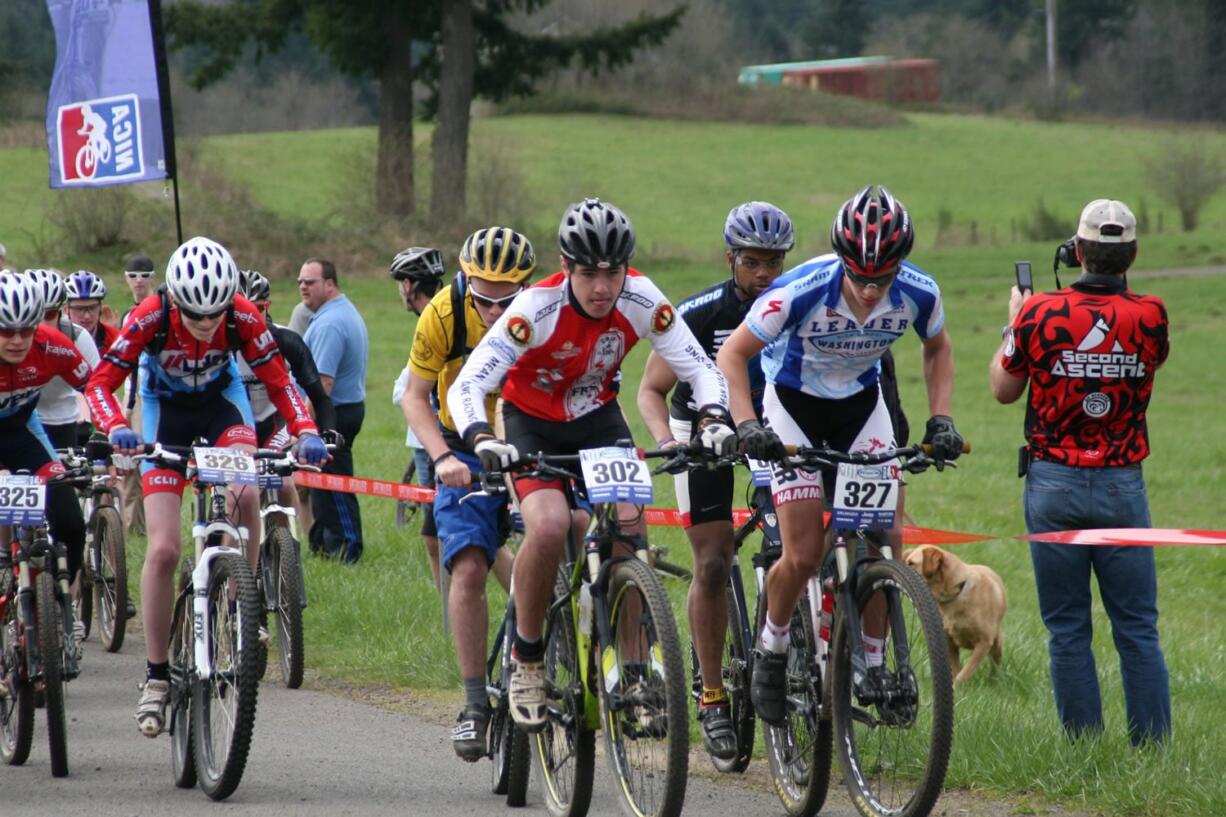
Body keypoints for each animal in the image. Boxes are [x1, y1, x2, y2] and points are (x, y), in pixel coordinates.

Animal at [902, 544, 1005, 682]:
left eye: (911, 563)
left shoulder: (984, 642)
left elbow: (966, 670)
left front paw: (959, 684)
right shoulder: (949, 642)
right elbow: (956, 669)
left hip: (996, 645)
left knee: (995, 664)